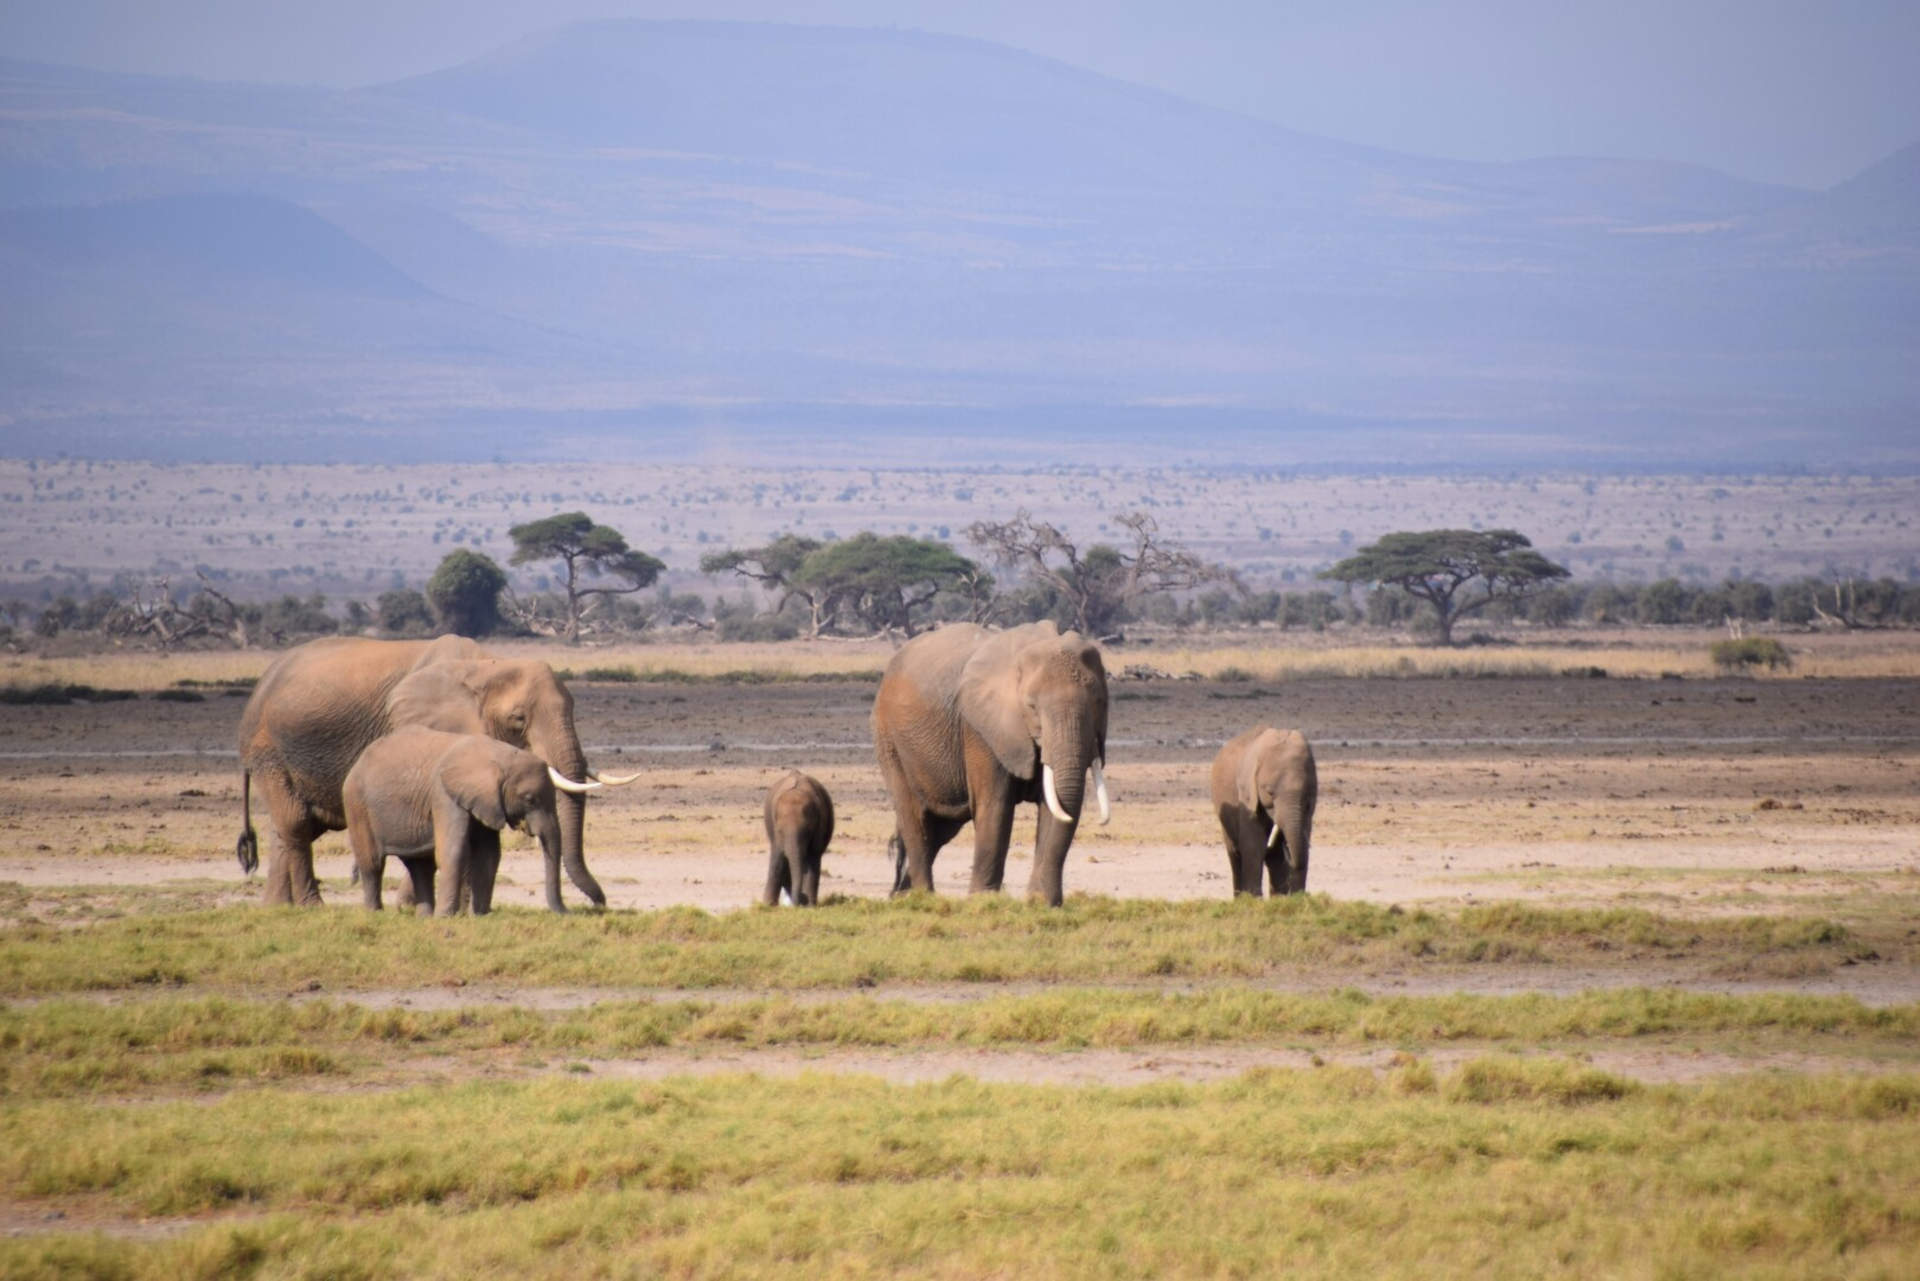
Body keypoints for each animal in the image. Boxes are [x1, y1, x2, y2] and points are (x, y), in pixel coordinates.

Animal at [341, 725, 614, 918]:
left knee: (421, 867)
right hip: (356, 804)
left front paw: (481, 915)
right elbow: (454, 850)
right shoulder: (444, 794)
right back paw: (376, 913)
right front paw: (447, 918)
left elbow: (489, 854)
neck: (498, 756)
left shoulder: (487, 801)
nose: (598, 907)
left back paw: (424, 917)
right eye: (530, 799)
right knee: (373, 863)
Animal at [756, 768, 833, 906]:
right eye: (780, 831)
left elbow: (813, 857)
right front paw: (768, 905)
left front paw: (810, 906)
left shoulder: (820, 825)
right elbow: (778, 857)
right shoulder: (775, 832)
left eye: (808, 832)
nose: (802, 899)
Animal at [871, 618, 1113, 906]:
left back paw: (901, 896)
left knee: (941, 828)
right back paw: (921, 898)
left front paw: (1041, 903)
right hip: (889, 739)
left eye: (1100, 702)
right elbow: (995, 806)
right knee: (914, 817)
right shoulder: (981, 729)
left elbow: (1053, 808)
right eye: (1031, 706)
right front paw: (983, 900)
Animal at [1205, 725, 1313, 898]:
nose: (1288, 850)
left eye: (1308, 791)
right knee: (1236, 854)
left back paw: (1278, 897)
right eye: (1270, 793)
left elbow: (1304, 836)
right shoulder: (1247, 794)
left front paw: (1297, 899)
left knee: (1274, 859)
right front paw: (1254, 900)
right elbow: (1253, 845)